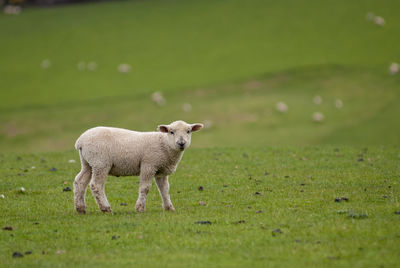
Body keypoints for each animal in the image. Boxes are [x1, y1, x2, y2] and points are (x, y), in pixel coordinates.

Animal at [73, 120, 203, 214]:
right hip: (100, 162)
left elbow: (165, 189)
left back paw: (81, 208)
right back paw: (106, 208)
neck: (165, 144)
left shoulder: (161, 170)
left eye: (188, 131)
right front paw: (140, 208)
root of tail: (80, 141)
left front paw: (169, 208)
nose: (181, 143)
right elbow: (145, 188)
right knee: (96, 185)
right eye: (171, 131)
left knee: (80, 181)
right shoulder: (148, 165)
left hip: (88, 163)